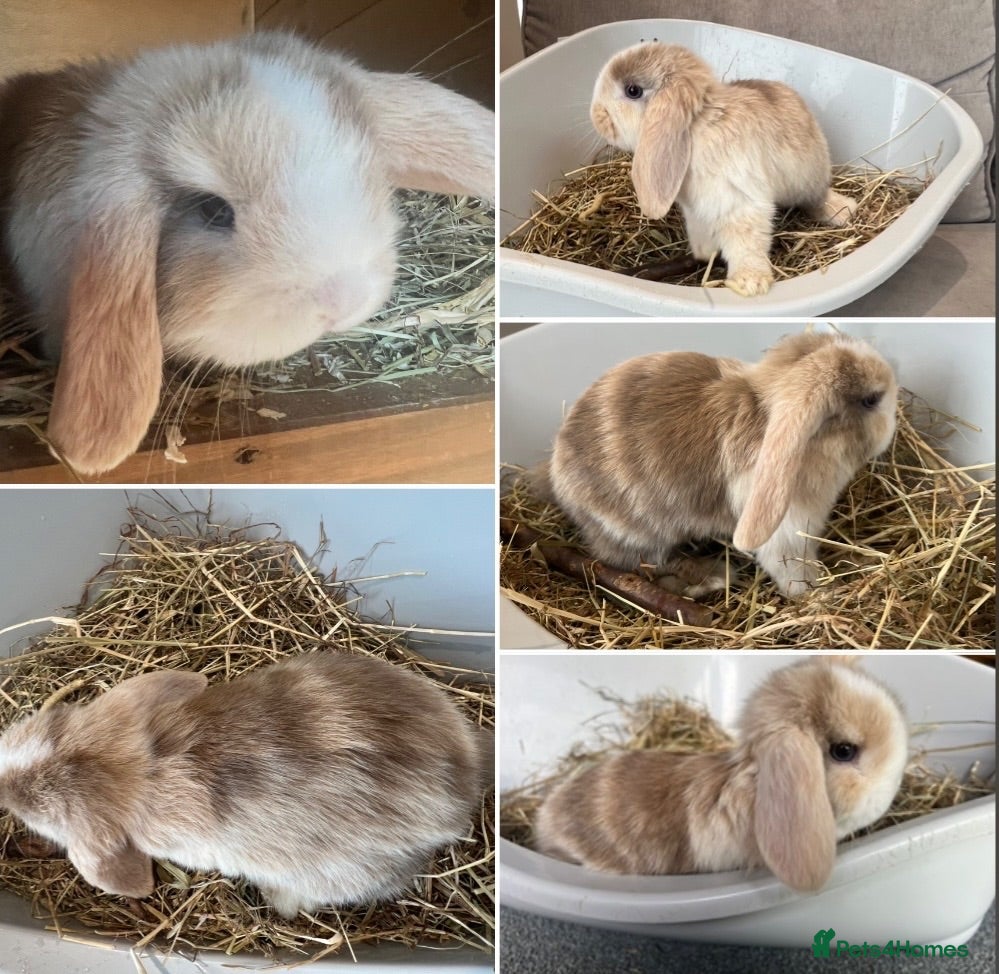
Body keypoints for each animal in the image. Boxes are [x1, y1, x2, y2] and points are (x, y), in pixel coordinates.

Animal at [534, 330, 898, 598]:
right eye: (870, 400)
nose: (892, 427)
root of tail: (557, 479)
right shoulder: (786, 534)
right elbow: (795, 572)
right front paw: (821, 595)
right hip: (634, 536)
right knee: (639, 563)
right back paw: (711, 578)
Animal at [590, 42, 857, 297]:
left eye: (632, 90)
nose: (596, 115)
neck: (695, 128)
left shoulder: (741, 203)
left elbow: (747, 243)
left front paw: (750, 284)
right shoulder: (696, 212)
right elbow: (702, 235)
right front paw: (704, 255)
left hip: (810, 179)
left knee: (817, 200)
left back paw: (845, 211)